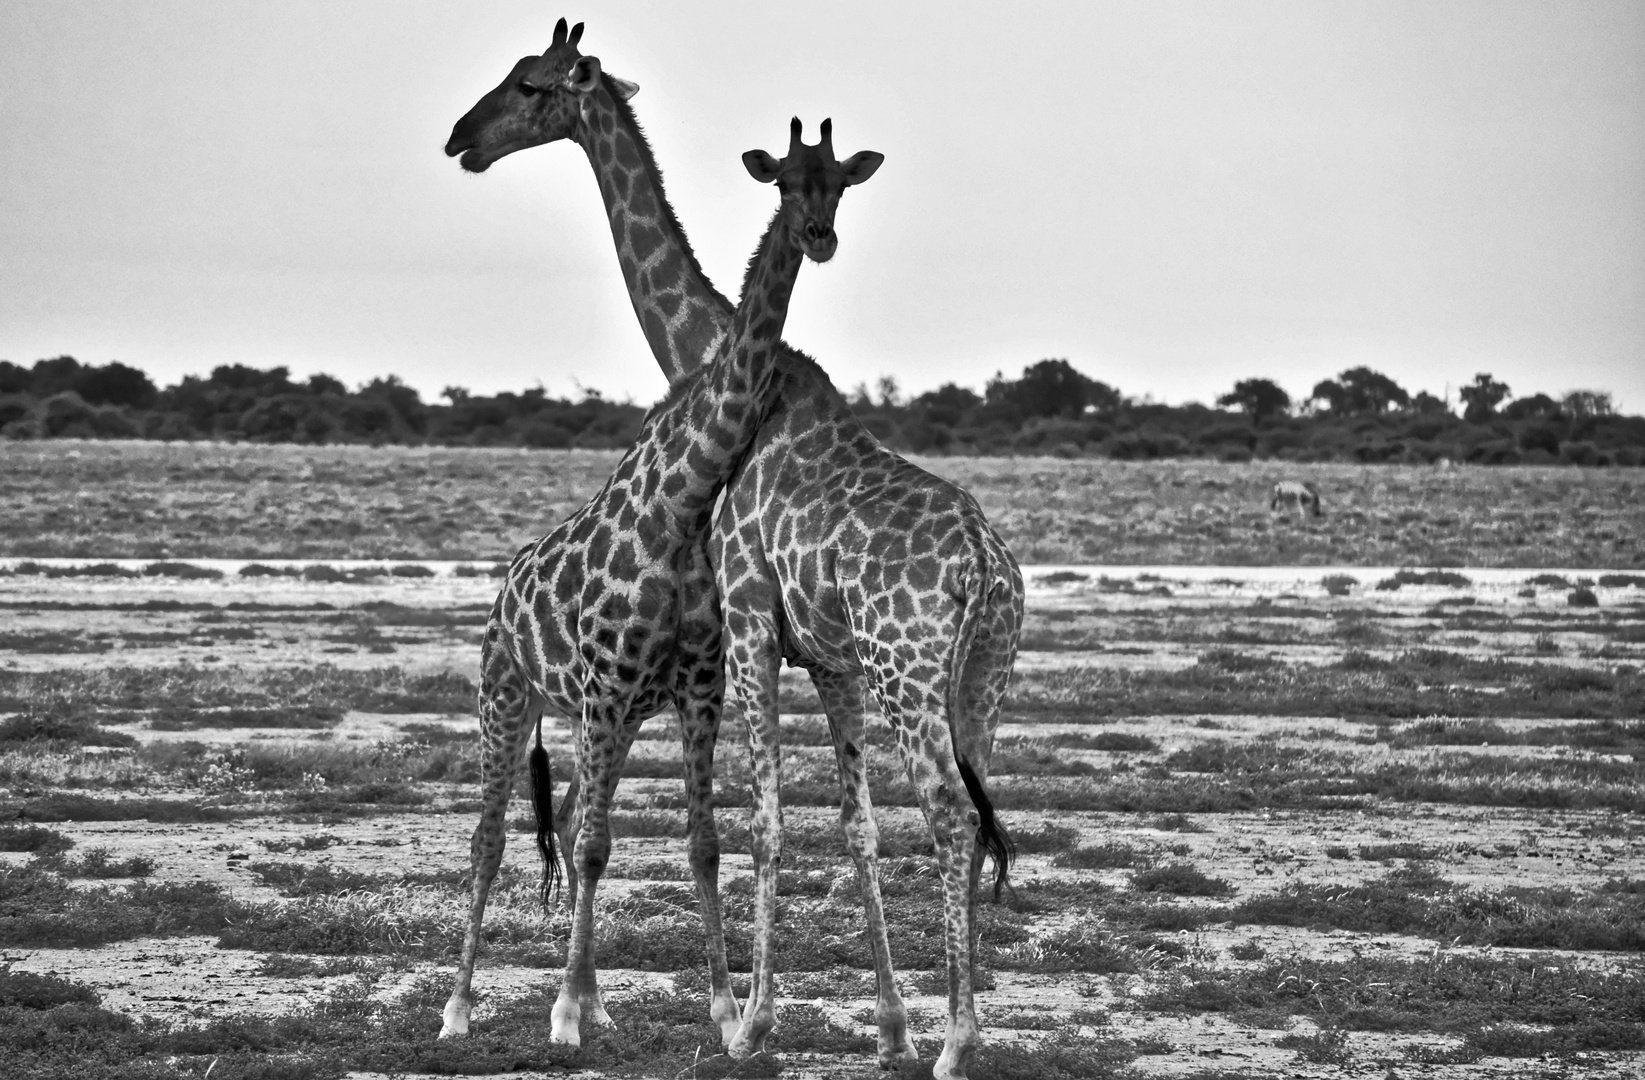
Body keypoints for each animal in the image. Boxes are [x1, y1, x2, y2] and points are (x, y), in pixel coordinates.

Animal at [444, 18, 1019, 1078]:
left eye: (529, 83)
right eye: (790, 182)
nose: (463, 137)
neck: (706, 357)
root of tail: (986, 569)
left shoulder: (750, 632)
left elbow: (764, 822)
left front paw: (752, 1020)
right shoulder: (822, 661)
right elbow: (852, 829)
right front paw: (885, 1024)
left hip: (909, 670)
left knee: (951, 816)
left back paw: (959, 1044)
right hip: (981, 684)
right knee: (970, 813)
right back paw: (953, 1031)